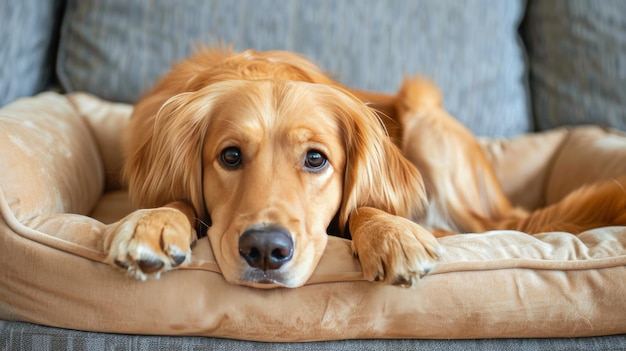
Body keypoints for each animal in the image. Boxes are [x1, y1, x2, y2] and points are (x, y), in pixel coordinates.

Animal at [102, 48, 624, 288]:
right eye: (230, 156)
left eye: (316, 158)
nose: (266, 250)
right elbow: (176, 198)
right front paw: (151, 223)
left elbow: (366, 207)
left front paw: (392, 235)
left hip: (425, 114)